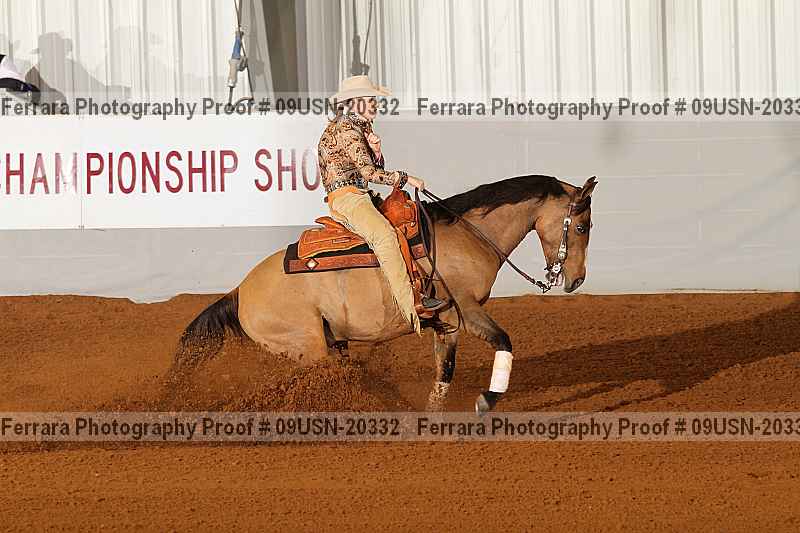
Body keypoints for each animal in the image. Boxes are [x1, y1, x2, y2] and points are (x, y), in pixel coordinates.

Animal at [171, 174, 598, 413]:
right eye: (581, 227)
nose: (576, 280)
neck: (466, 235)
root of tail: (240, 292)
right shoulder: (466, 309)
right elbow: (504, 341)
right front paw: (485, 401)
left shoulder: (447, 324)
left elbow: (444, 373)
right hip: (308, 347)